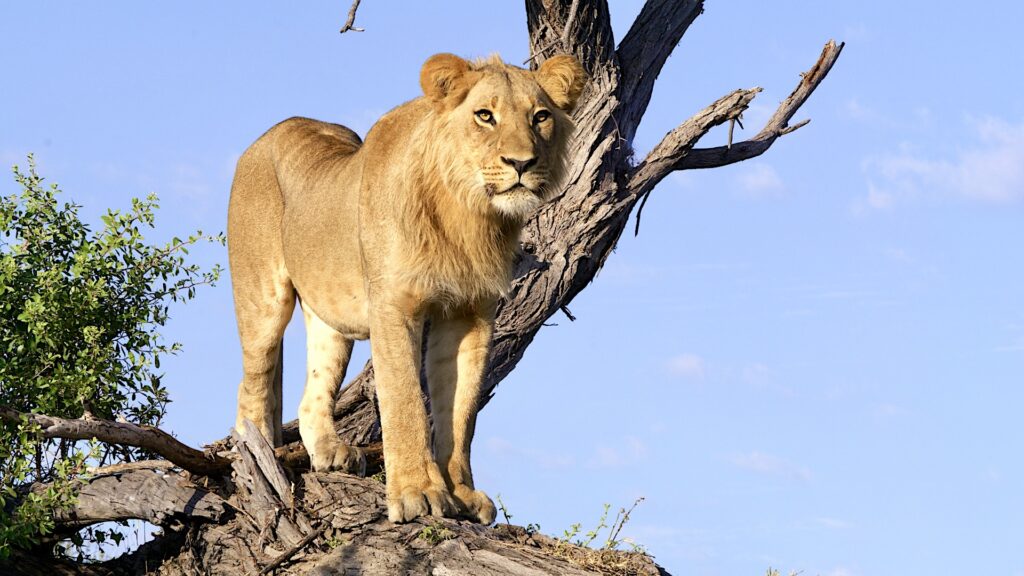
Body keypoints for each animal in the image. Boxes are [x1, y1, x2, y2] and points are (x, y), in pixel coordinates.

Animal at [228, 53, 586, 524]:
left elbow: (460, 409)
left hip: (331, 316)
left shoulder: (470, 314)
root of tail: (262, 138)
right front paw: (417, 493)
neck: (467, 215)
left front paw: (462, 493)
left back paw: (331, 452)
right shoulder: (393, 307)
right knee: (251, 385)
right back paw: (259, 461)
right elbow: (405, 400)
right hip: (262, 298)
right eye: (484, 116)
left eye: (540, 117)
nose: (521, 163)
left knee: (312, 393)